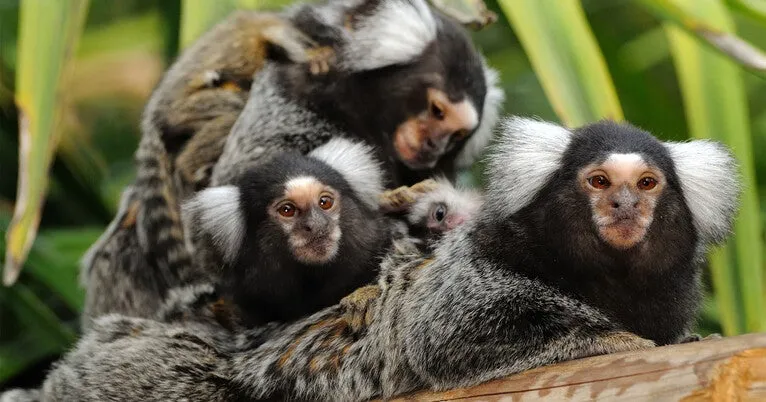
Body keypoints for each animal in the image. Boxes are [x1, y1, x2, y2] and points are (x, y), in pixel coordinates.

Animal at [18, 116, 740, 401]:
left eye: (646, 183)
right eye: (597, 181)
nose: (623, 204)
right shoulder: (466, 281)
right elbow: (444, 340)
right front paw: (606, 339)